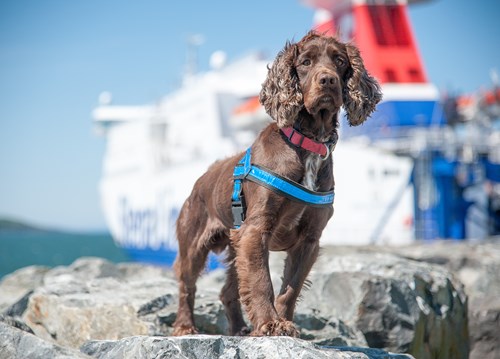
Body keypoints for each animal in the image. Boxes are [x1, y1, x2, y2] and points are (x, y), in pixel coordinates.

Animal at [173, 31, 382, 338]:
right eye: (306, 62)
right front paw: (269, 324)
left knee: (228, 291)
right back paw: (186, 326)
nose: (328, 80)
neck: (308, 144)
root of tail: (201, 179)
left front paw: (283, 322)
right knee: (187, 285)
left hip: (234, 245)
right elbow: (261, 281)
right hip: (194, 243)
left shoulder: (309, 239)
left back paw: (239, 329)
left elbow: (290, 289)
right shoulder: (255, 230)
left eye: (340, 61)